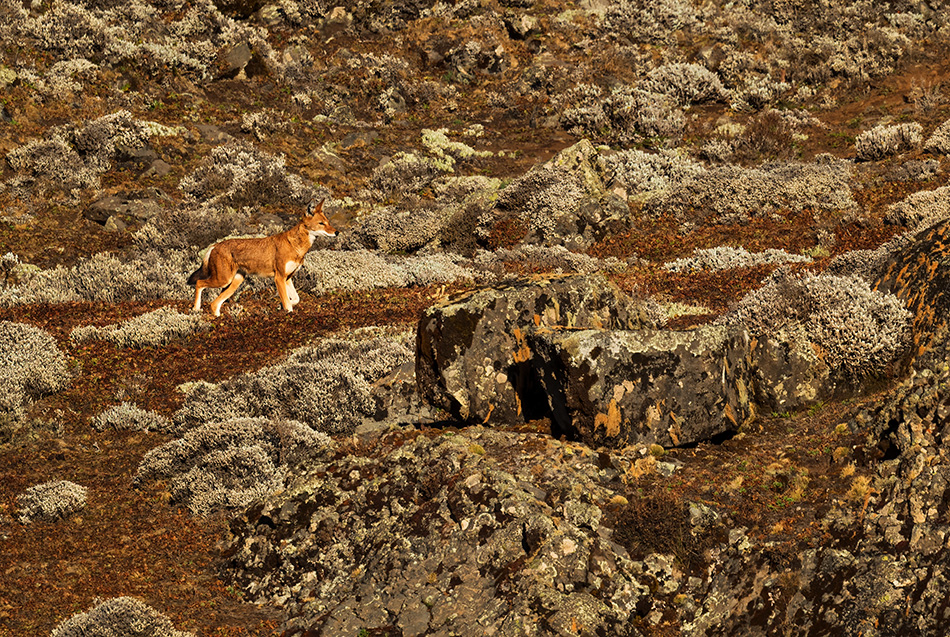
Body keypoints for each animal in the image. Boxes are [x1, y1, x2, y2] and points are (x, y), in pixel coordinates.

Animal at [189, 199, 338, 316]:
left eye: (328, 222)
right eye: (321, 223)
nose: (337, 232)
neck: (295, 246)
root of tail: (214, 245)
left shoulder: (288, 278)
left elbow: (295, 299)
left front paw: (280, 305)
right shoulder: (279, 278)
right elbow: (288, 305)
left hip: (233, 283)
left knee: (214, 304)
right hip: (223, 281)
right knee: (199, 283)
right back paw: (196, 309)